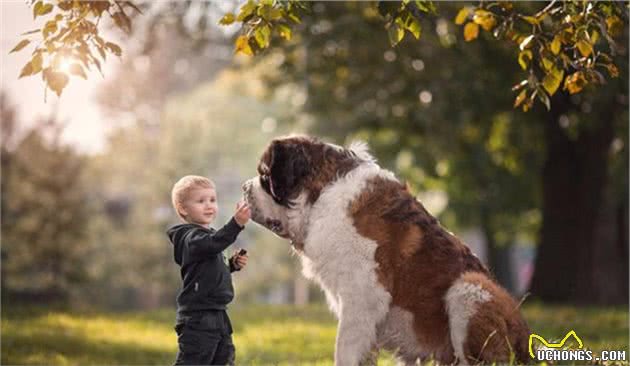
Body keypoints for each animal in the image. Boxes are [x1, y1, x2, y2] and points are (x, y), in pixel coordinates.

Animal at [244, 136, 532, 364]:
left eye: (264, 176)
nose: (245, 187)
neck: (322, 194)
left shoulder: (362, 296)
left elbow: (344, 349)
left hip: (469, 288)